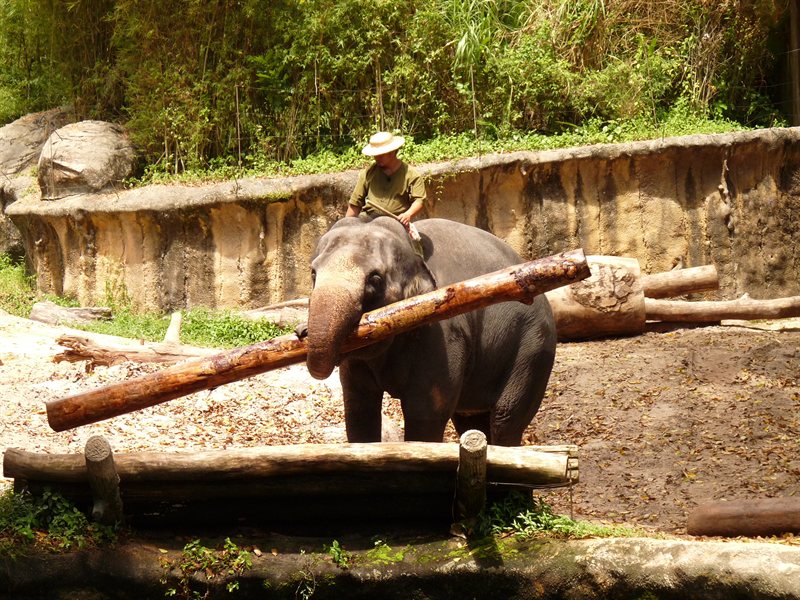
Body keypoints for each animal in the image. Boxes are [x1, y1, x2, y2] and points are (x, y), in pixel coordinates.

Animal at [305, 216, 557, 445]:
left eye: (375, 279)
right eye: (313, 274)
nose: (302, 332)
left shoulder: (442, 333)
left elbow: (426, 411)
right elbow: (359, 410)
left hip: (531, 351)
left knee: (506, 419)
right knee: (471, 420)